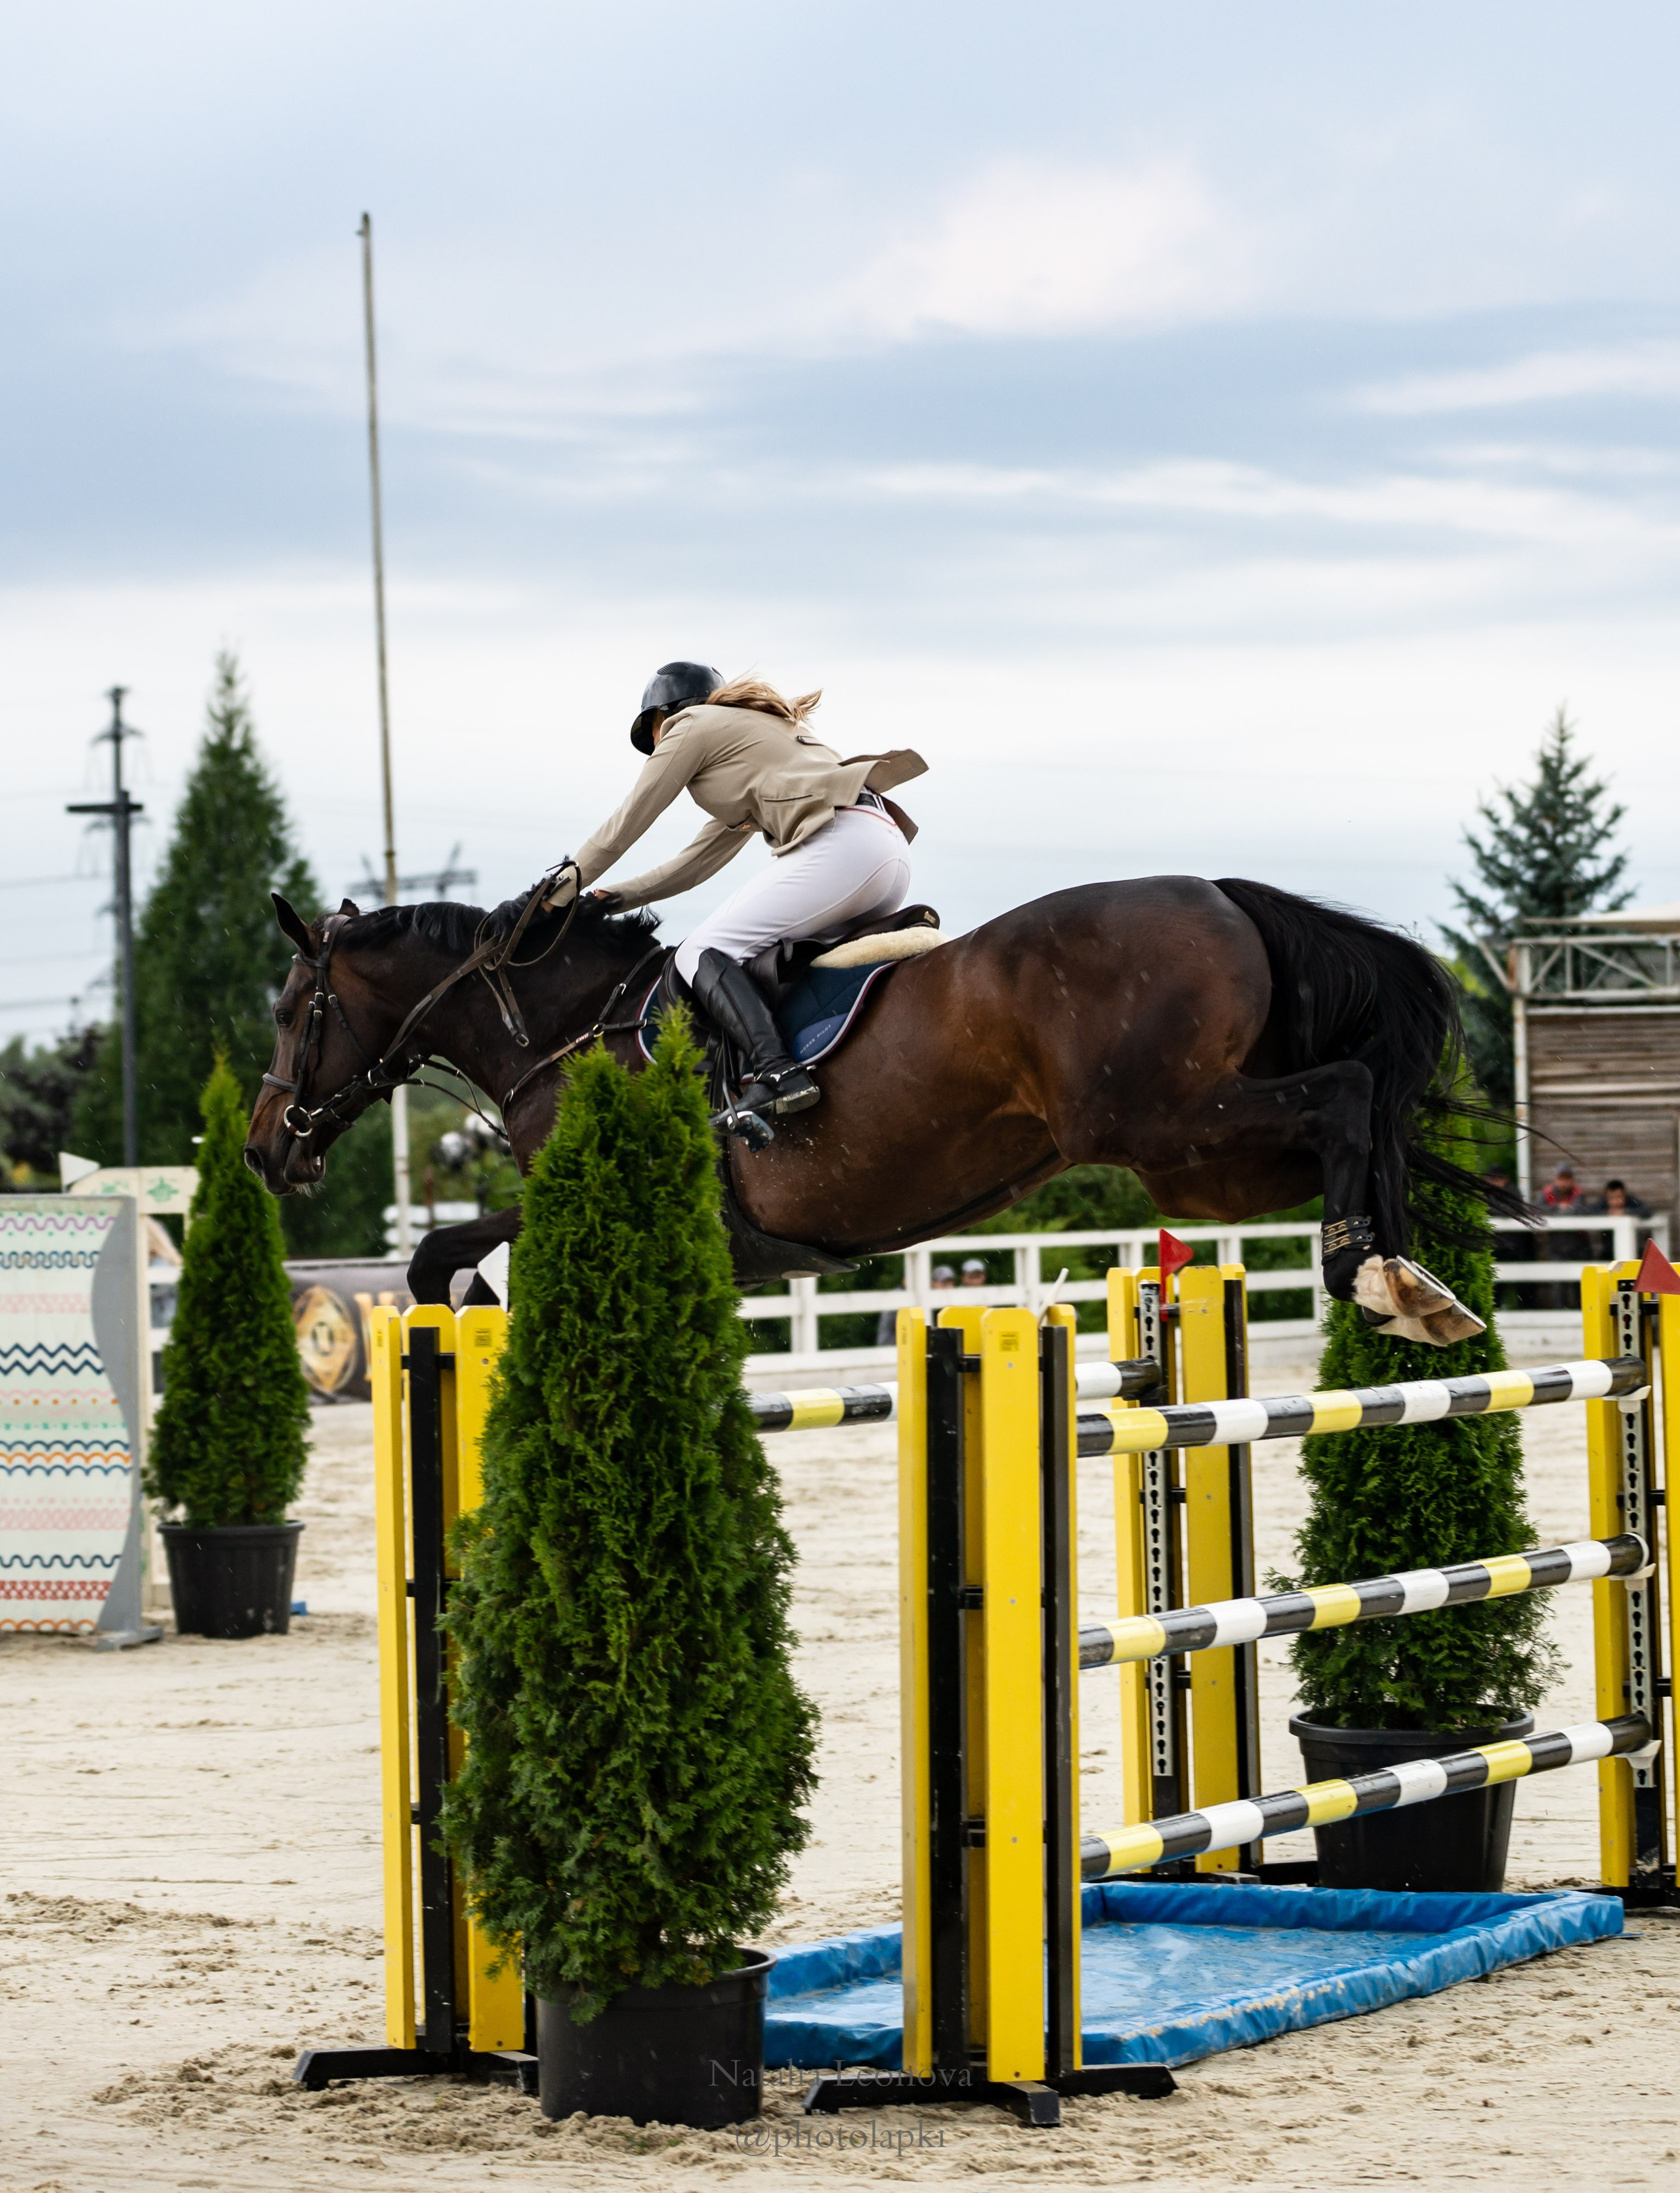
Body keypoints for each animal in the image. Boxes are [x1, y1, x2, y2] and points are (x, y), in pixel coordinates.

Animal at [245, 875, 1511, 1336]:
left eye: (293, 1009)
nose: (264, 1152)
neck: (560, 1027)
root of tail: (1222, 896)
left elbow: (446, 1258)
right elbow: (446, 1255)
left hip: (1164, 1124)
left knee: (1348, 1096)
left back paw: (1376, 1276)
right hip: (1201, 1164)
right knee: (1361, 1115)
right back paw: (1407, 1275)